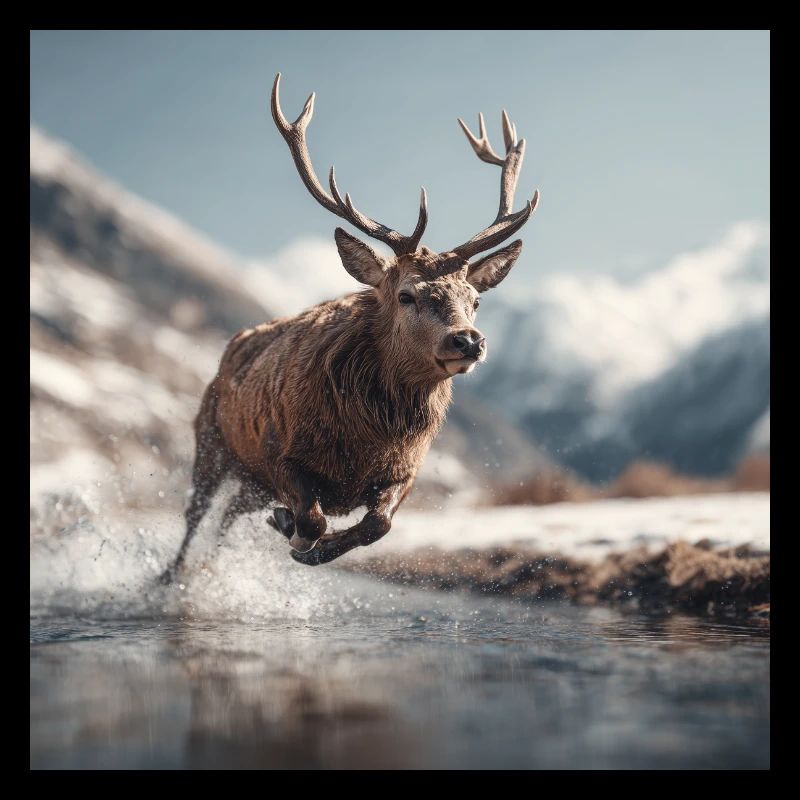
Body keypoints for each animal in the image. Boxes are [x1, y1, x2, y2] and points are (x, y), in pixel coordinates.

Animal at [160, 73, 539, 581]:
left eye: (475, 301)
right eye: (406, 294)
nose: (468, 341)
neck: (365, 444)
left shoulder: (405, 473)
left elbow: (377, 525)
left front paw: (308, 544)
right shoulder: (280, 451)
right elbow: (313, 518)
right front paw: (295, 533)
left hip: (248, 481)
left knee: (226, 518)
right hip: (212, 442)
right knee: (195, 514)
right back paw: (170, 578)